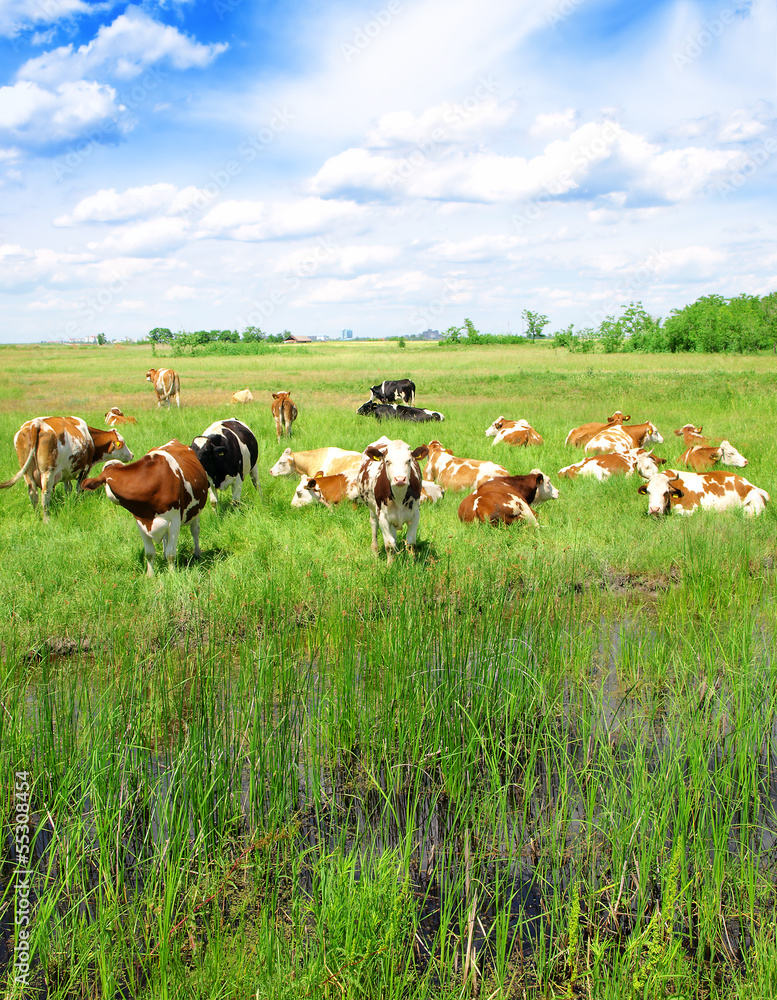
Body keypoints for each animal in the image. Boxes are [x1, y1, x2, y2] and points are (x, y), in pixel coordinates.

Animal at [0, 416, 133, 520]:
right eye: (122, 443)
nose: (132, 455)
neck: (90, 437)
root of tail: (35, 424)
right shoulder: (85, 467)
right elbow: (79, 488)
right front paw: (79, 501)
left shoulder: (66, 471)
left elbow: (68, 488)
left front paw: (69, 501)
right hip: (48, 472)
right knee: (45, 496)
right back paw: (46, 519)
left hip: (27, 473)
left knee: (33, 494)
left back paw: (37, 516)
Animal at [82, 440, 209, 576]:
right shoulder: (141, 522)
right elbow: (149, 553)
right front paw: (150, 575)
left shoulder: (174, 520)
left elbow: (171, 553)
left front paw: (172, 575)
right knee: (165, 538)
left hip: (195, 512)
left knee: (195, 531)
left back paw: (197, 553)